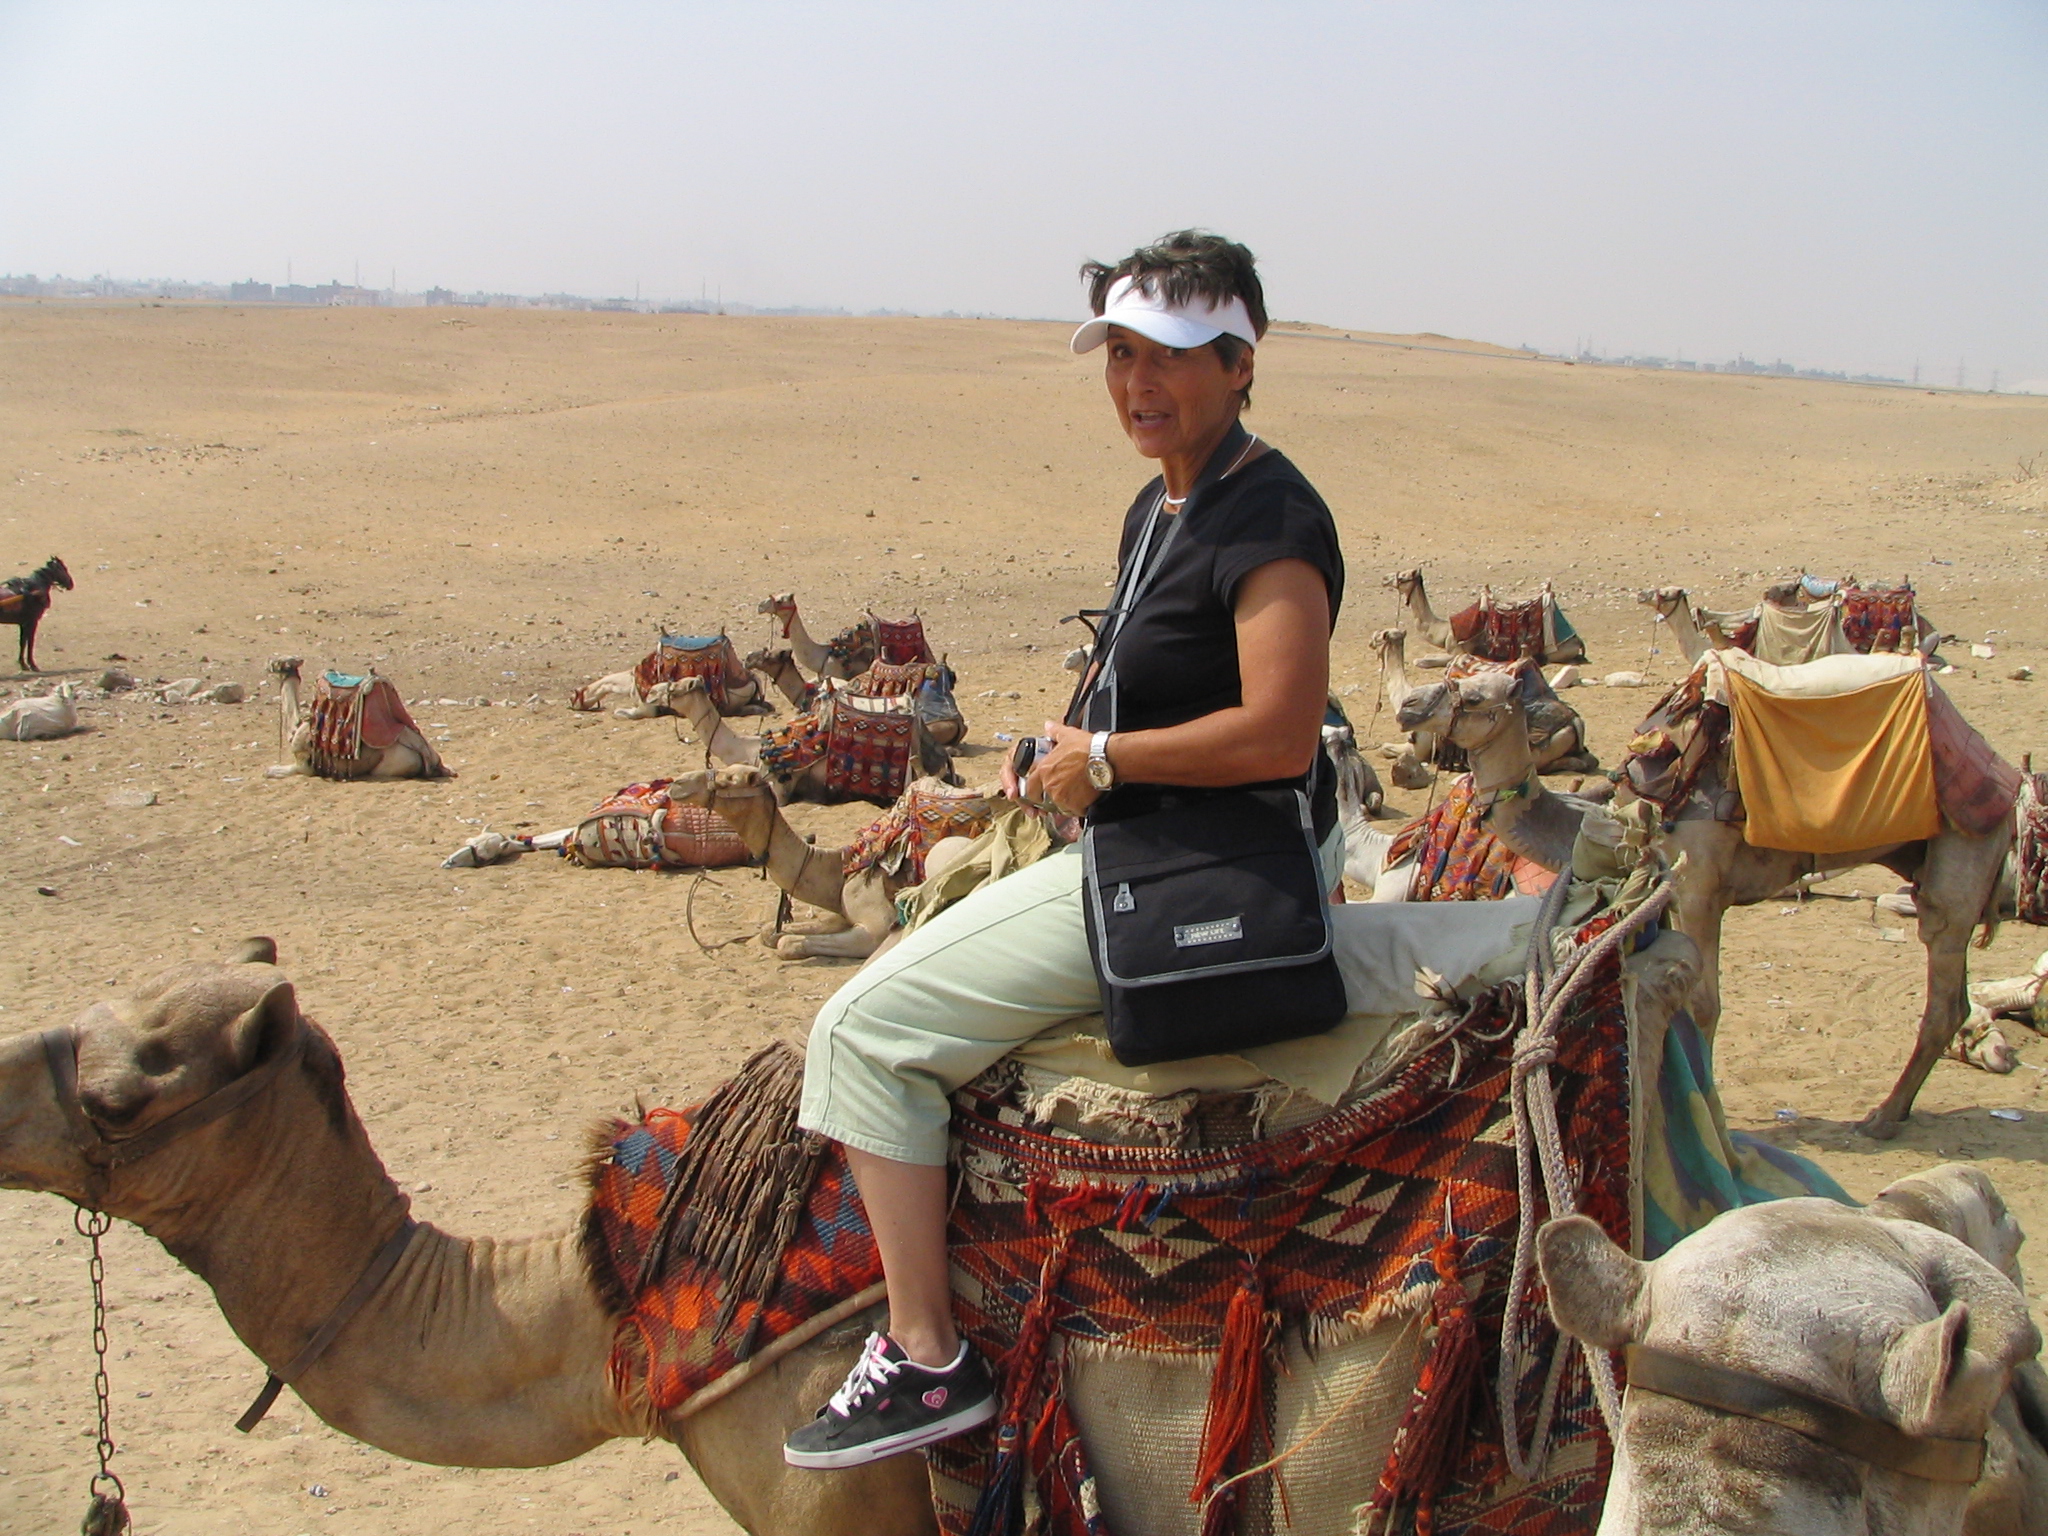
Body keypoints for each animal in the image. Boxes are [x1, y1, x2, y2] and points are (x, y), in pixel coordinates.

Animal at [267, 659, 451, 780]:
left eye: (278, 664)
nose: (269, 664)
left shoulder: (304, 762)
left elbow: (285, 770)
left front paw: (271, 771)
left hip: (397, 764)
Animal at [669, 766, 987, 959]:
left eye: (728, 780)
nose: (676, 783)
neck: (842, 868)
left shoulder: (875, 928)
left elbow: (786, 943)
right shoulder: (841, 913)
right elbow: (770, 932)